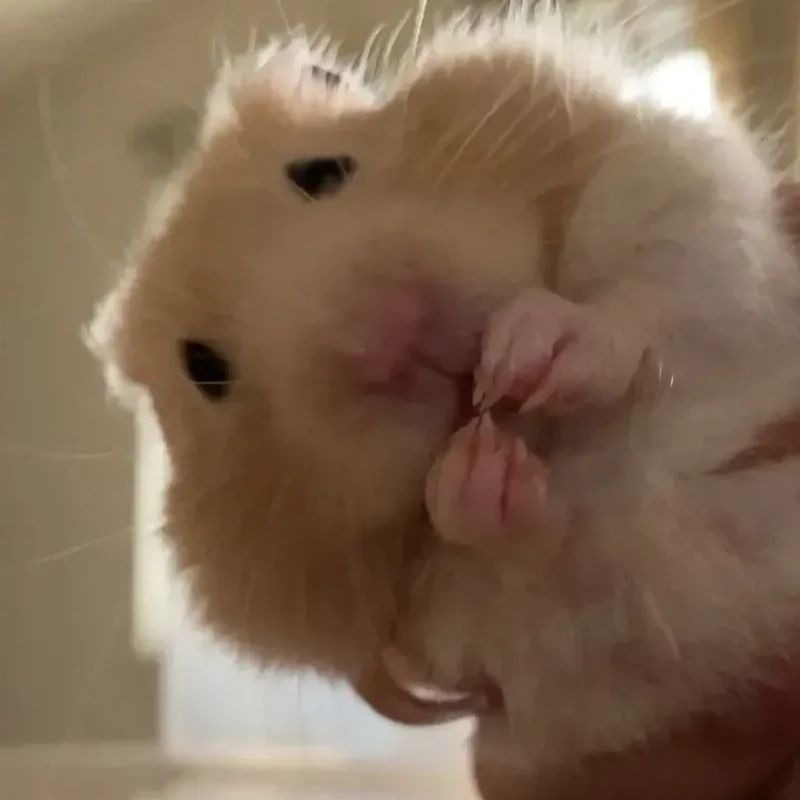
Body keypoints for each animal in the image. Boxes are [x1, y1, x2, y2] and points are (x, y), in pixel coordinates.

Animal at [89, 6, 800, 787]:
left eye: (321, 171)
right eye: (205, 370)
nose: (388, 338)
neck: (561, 441)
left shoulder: (681, 203)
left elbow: (650, 292)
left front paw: (536, 348)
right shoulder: (581, 646)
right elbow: (542, 567)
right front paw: (472, 475)